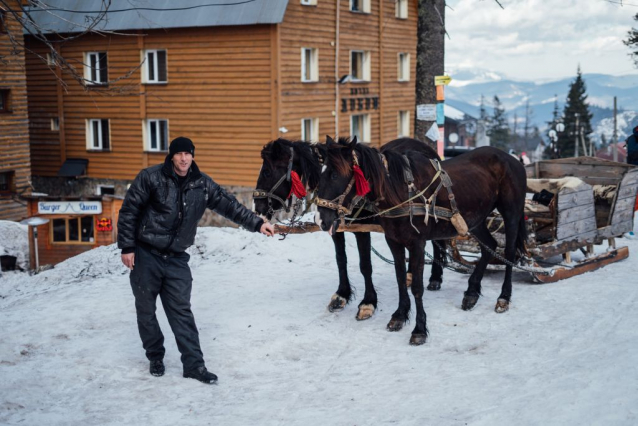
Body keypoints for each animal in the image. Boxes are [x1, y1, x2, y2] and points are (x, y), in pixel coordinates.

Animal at [256, 136, 450, 320]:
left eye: (266, 172)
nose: (257, 208)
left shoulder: (362, 229)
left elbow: (365, 265)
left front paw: (368, 302)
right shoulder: (335, 227)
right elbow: (341, 259)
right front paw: (342, 294)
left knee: (438, 241)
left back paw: (435, 277)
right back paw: (411, 275)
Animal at [318, 138, 528, 344]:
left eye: (335, 175)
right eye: (320, 173)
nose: (321, 219)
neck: (400, 191)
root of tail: (513, 160)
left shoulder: (417, 243)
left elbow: (417, 287)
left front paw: (419, 329)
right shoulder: (393, 240)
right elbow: (400, 278)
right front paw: (400, 315)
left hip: (511, 213)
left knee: (509, 253)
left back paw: (504, 297)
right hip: (475, 219)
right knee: (489, 246)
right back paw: (471, 292)